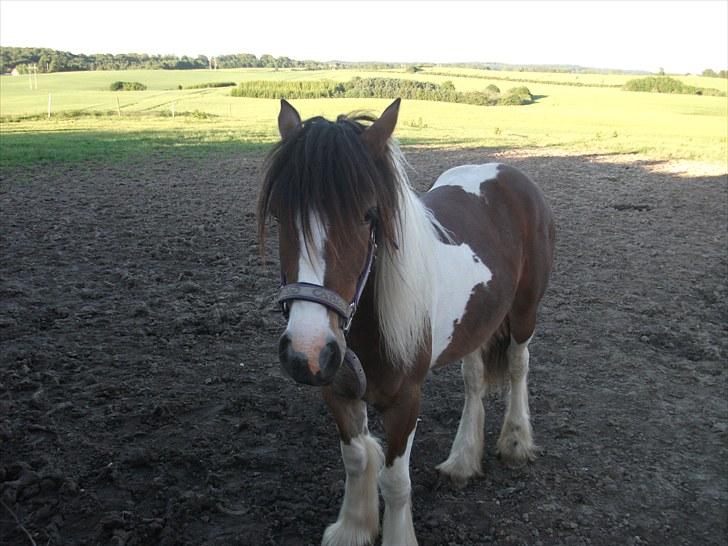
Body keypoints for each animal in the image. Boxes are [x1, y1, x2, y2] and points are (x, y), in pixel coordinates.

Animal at [258, 99, 556, 544]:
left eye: (368, 215)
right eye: (279, 215)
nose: (306, 353)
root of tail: (509, 173)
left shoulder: (405, 401)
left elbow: (396, 483)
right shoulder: (338, 392)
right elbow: (356, 458)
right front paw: (354, 527)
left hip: (523, 313)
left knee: (519, 366)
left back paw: (516, 442)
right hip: (476, 321)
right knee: (475, 381)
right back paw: (463, 460)